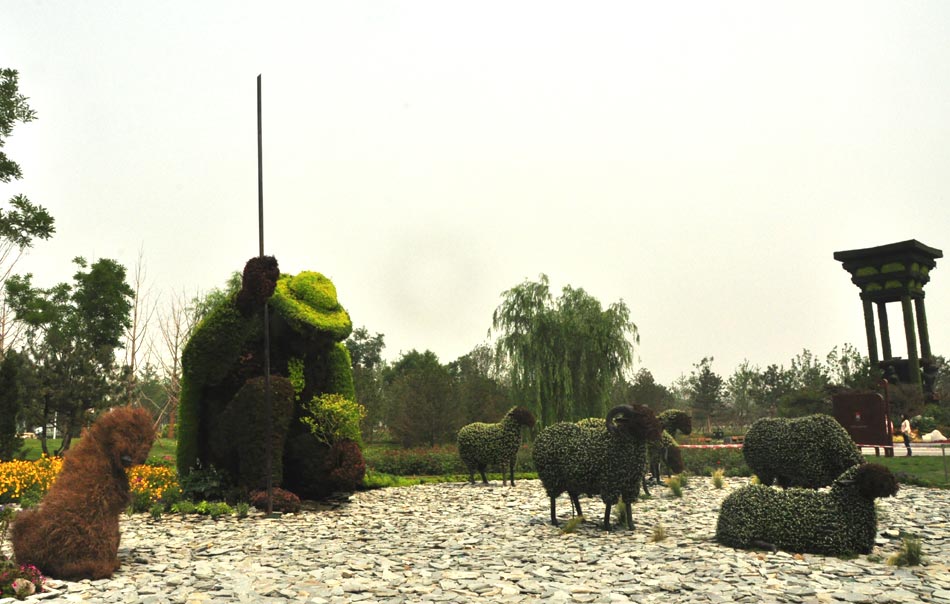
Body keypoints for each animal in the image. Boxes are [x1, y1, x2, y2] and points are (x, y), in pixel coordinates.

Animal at [720, 462, 900, 556]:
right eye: (869, 477)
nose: (895, 485)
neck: (841, 507)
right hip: (743, 529)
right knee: (747, 541)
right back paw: (772, 546)